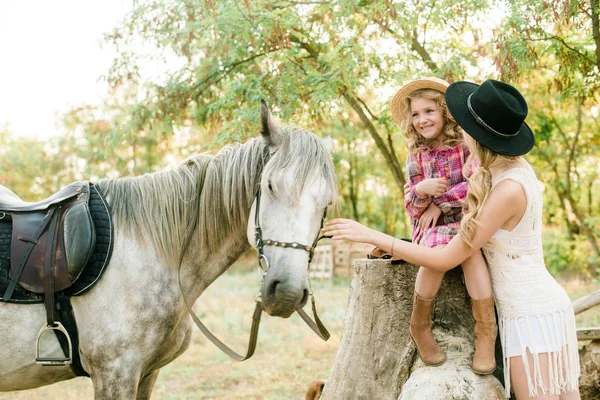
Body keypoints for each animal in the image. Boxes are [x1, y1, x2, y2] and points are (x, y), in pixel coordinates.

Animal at [0, 101, 338, 398]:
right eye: (269, 185)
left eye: (327, 203)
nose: (287, 293)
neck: (146, 248)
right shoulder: (115, 374)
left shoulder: (147, 373)